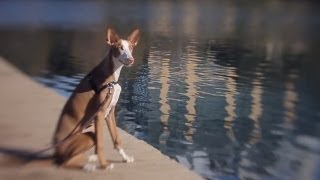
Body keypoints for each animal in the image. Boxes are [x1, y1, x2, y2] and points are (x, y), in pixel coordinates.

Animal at [52, 27, 140, 171]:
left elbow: (116, 138)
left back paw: (90, 159)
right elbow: (101, 144)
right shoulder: (100, 114)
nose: (131, 59)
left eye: (131, 47)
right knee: (64, 162)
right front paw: (104, 164)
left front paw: (125, 158)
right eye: (120, 48)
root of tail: (56, 150)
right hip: (85, 138)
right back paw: (88, 167)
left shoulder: (109, 113)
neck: (112, 79)